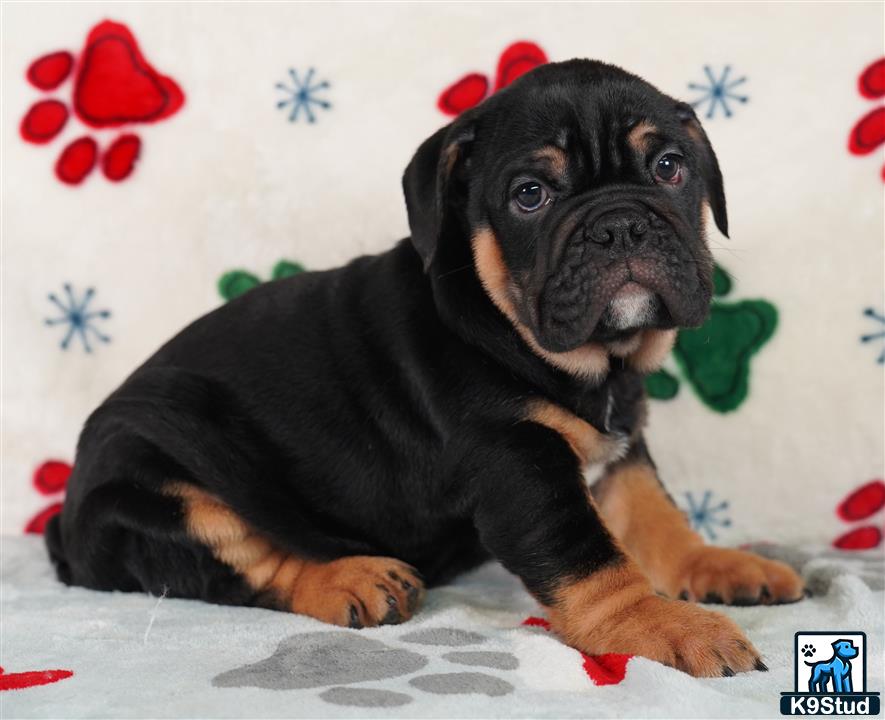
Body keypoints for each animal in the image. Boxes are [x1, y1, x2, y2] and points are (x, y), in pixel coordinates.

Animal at [45, 59, 800, 676]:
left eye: (670, 167)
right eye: (530, 194)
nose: (619, 224)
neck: (587, 361)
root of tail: (66, 525)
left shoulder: (621, 447)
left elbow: (653, 516)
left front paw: (713, 565)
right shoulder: (518, 465)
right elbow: (593, 558)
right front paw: (664, 626)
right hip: (157, 485)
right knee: (244, 566)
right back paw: (349, 580)